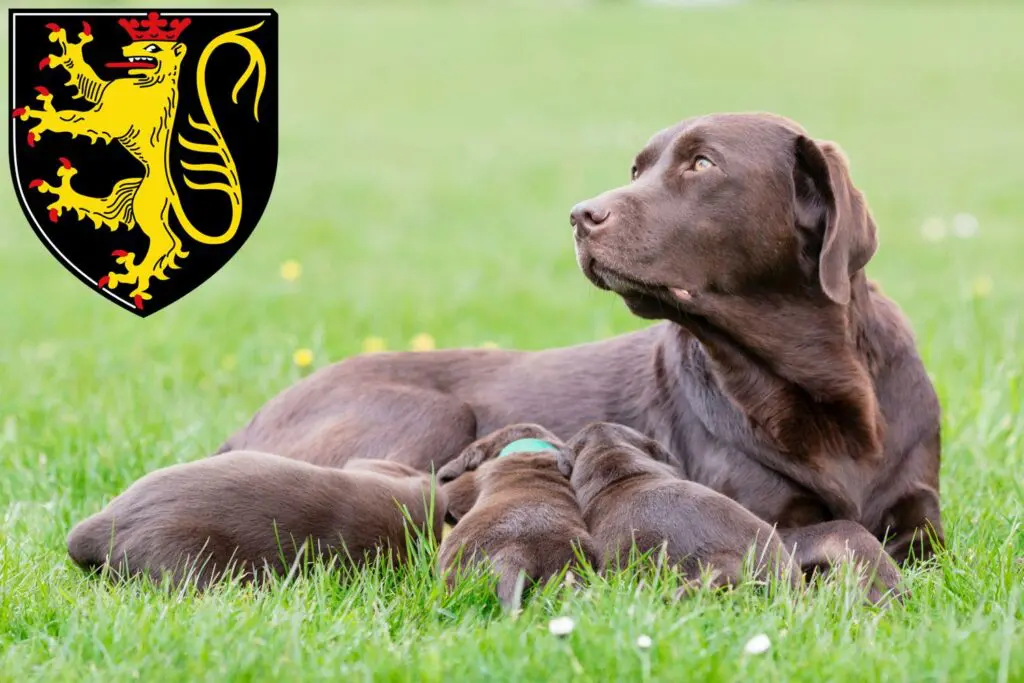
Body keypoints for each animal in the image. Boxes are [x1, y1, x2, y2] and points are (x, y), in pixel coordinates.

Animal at [12, 12, 268, 309]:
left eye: (153, 47)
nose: (124, 48)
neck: (147, 82)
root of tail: (171, 189)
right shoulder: (106, 92)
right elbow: (89, 84)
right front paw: (70, 52)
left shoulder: (112, 121)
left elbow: (79, 120)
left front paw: (46, 117)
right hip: (128, 190)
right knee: (110, 210)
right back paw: (64, 193)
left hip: (146, 205)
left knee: (166, 242)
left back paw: (135, 275)